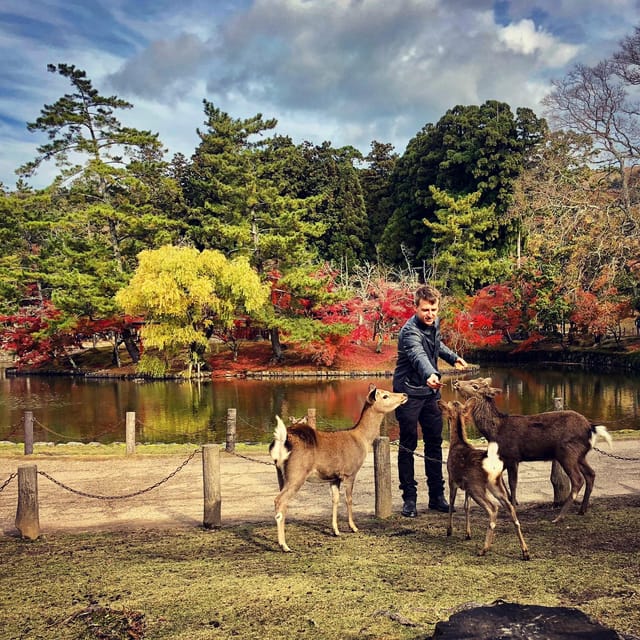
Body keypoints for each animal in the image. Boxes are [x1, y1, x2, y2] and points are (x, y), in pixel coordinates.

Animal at [268, 382, 408, 552]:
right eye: (385, 395)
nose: (404, 395)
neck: (361, 440)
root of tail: (281, 442)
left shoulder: (334, 477)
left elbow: (335, 499)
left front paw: (336, 530)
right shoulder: (350, 472)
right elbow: (349, 499)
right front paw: (353, 527)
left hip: (280, 473)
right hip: (297, 473)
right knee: (280, 501)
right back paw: (285, 546)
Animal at [438, 400, 528, 560]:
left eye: (447, 413)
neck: (457, 443)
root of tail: (492, 462)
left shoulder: (452, 478)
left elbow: (452, 504)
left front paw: (449, 530)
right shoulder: (466, 486)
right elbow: (466, 506)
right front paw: (468, 534)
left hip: (477, 486)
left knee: (493, 508)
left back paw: (484, 549)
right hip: (496, 484)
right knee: (510, 507)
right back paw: (525, 551)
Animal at [448, 378, 612, 524]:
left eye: (475, 385)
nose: (456, 382)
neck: (494, 433)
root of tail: (591, 428)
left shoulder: (513, 456)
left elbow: (513, 482)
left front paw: (513, 506)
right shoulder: (504, 458)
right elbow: (502, 480)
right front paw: (512, 502)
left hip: (567, 452)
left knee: (578, 480)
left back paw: (559, 516)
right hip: (580, 455)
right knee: (591, 474)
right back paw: (582, 510)